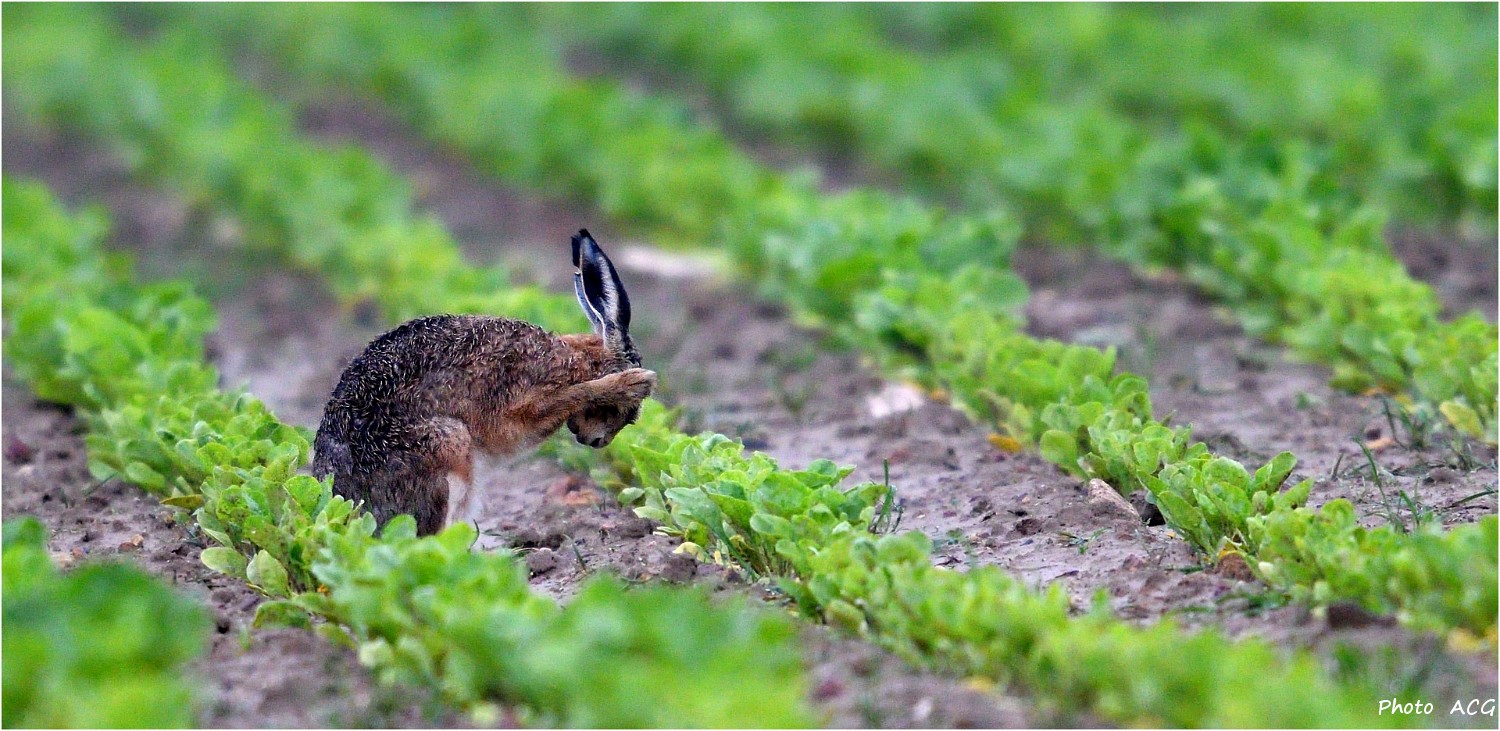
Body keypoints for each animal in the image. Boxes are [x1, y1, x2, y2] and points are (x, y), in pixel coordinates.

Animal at [311, 230, 656, 536]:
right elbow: (570, 395)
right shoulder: (519, 400)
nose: (596, 442)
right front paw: (632, 382)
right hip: (445, 445)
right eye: (620, 410)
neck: (577, 361)